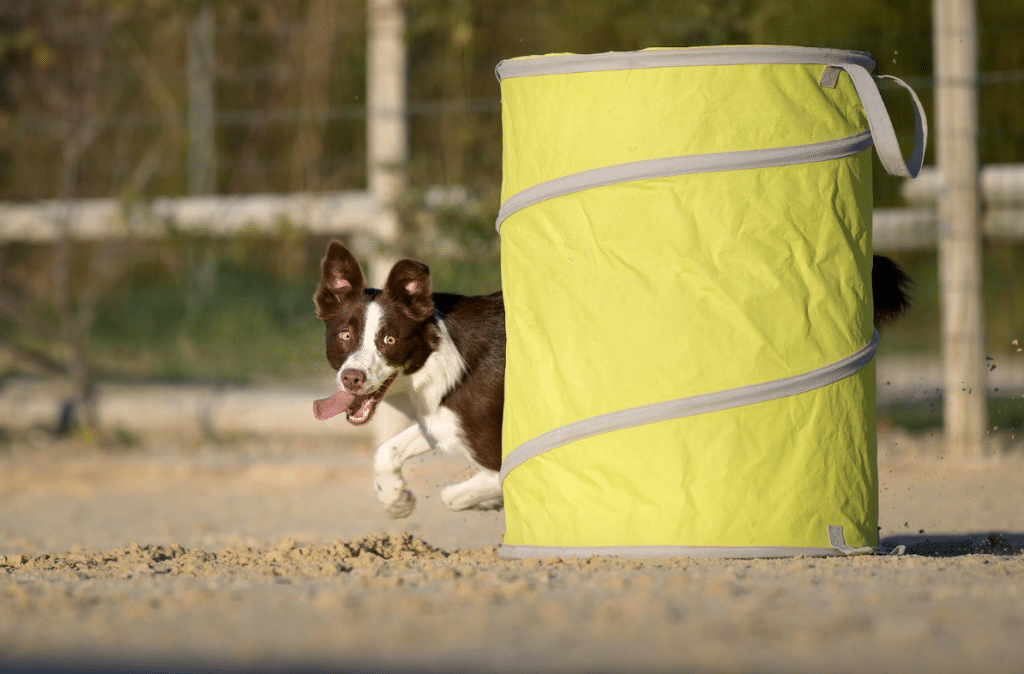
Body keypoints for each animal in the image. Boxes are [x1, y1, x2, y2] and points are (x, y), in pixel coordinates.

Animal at [311, 238, 913, 516]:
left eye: (389, 340)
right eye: (345, 335)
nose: (353, 380)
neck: (435, 355)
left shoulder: (492, 441)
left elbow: (463, 491)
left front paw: (483, 501)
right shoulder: (444, 419)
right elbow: (387, 450)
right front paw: (395, 498)